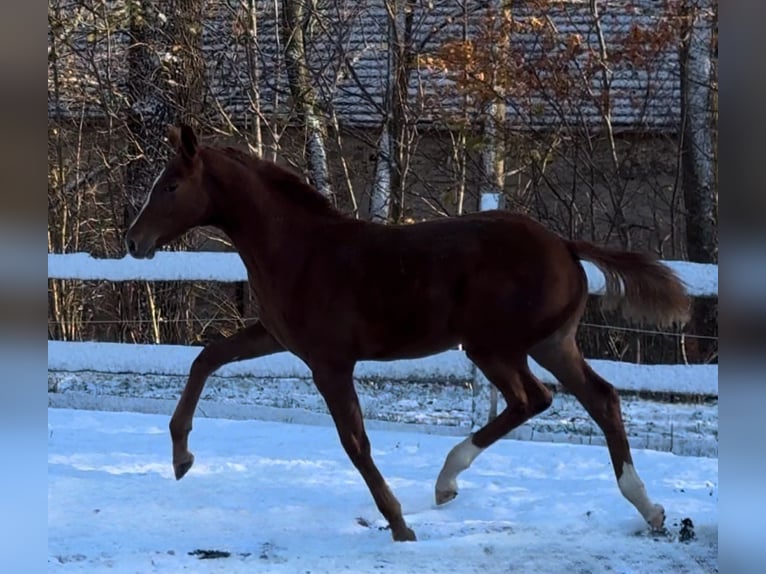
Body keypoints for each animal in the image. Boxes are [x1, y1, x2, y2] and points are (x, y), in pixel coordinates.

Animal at [124, 125, 688, 544]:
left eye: (170, 185)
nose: (133, 240)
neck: (299, 248)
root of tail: (566, 246)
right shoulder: (277, 337)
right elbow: (207, 357)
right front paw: (181, 458)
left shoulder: (329, 362)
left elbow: (355, 441)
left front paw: (398, 525)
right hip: (551, 344)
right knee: (599, 398)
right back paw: (650, 508)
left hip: (495, 347)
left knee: (535, 399)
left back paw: (447, 480)